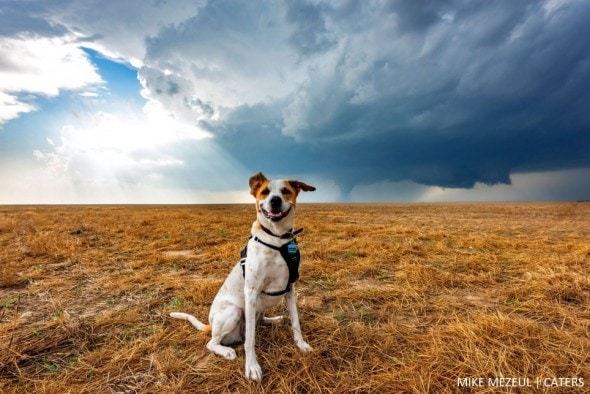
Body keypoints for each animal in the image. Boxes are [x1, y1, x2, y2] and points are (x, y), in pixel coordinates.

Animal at [170, 171, 316, 380]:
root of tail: (210, 326)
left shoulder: (290, 289)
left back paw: (274, 320)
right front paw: (252, 366)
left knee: (260, 320)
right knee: (213, 342)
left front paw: (301, 345)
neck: (277, 239)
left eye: (285, 191)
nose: (275, 200)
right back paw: (226, 351)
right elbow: (250, 340)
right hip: (234, 311)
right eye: (265, 192)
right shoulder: (251, 292)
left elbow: (296, 322)